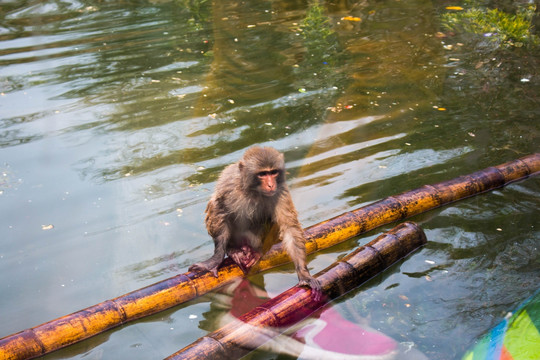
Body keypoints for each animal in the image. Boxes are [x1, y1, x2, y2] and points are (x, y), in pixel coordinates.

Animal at [190, 146, 320, 296]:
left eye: (273, 172)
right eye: (262, 174)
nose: (270, 185)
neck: (253, 191)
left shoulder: (280, 191)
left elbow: (289, 227)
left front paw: (304, 274)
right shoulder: (228, 183)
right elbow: (219, 209)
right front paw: (216, 259)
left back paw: (257, 252)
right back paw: (232, 249)